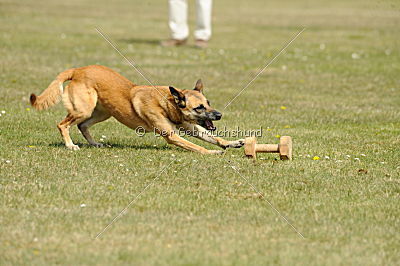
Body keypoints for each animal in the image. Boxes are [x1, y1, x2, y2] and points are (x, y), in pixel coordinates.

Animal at [30, 64, 244, 155]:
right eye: (199, 108)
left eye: (208, 103)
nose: (219, 115)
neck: (168, 103)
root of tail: (77, 70)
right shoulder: (171, 135)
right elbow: (197, 146)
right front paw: (212, 153)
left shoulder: (190, 127)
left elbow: (215, 138)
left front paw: (231, 143)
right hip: (83, 109)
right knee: (63, 125)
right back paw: (70, 145)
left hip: (102, 112)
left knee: (82, 126)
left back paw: (95, 143)